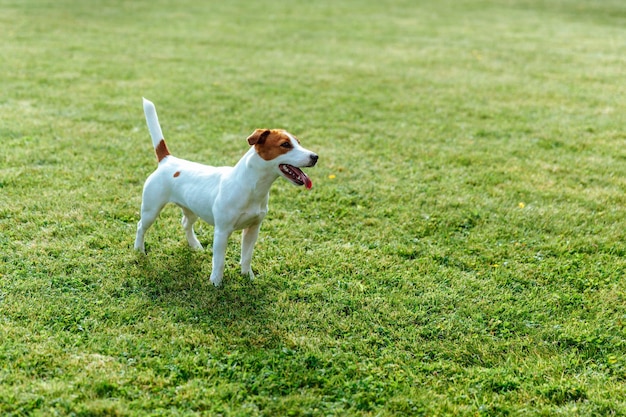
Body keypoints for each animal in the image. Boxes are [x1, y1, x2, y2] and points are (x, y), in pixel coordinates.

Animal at [133, 98, 316, 286]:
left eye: (299, 142)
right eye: (285, 144)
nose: (315, 157)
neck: (250, 185)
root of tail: (167, 160)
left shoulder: (253, 229)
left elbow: (247, 256)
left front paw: (248, 276)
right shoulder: (222, 231)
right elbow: (219, 261)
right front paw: (216, 283)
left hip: (191, 208)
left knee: (186, 224)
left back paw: (195, 245)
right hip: (151, 209)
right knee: (141, 226)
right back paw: (139, 249)